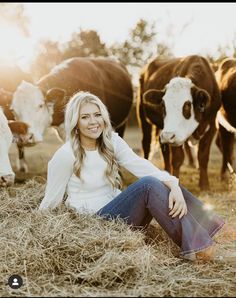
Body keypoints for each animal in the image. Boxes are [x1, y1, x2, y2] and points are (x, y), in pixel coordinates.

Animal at [137, 54, 222, 190]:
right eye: (163, 105)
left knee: (165, 152)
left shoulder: (211, 126)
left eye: (187, 105)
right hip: (145, 119)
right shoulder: (174, 136)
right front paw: (176, 181)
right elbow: (177, 159)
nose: (167, 136)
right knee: (146, 144)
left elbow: (203, 156)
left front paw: (204, 185)